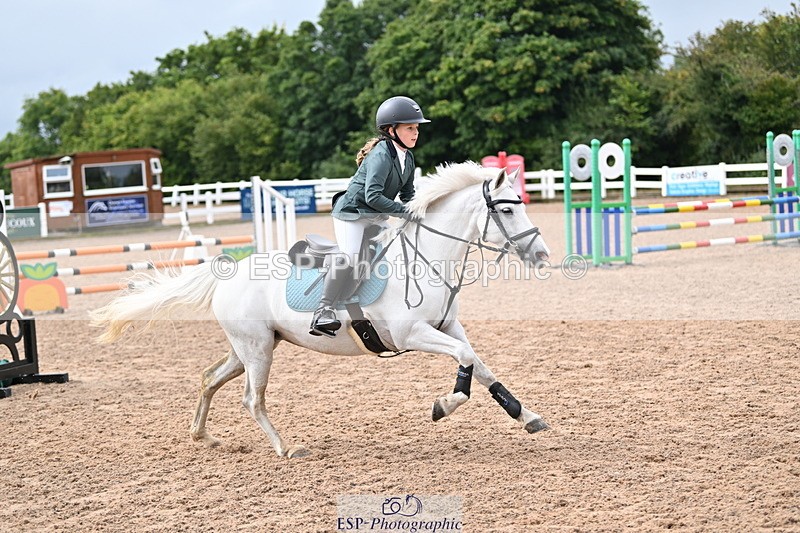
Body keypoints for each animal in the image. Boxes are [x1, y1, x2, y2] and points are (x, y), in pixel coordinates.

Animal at [91, 161, 552, 458]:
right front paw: (444, 405)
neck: (427, 257)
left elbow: (478, 363)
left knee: (210, 379)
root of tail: (228, 273)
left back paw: (203, 438)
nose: (543, 255)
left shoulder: (449, 327)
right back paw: (286, 448)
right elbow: (465, 361)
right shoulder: (413, 334)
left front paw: (526, 415)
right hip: (258, 350)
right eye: (506, 209)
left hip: (249, 347)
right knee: (251, 399)